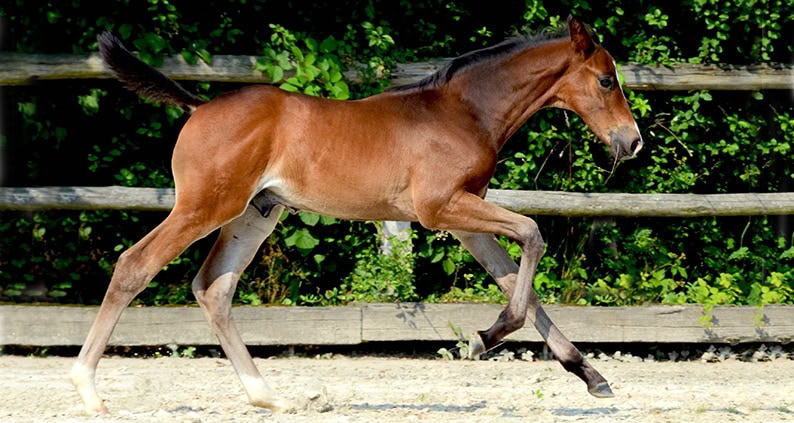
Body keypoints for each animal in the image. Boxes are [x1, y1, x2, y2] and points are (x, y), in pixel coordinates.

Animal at [71, 15, 643, 414]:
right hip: (204, 206)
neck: (464, 112)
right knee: (135, 265)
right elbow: (533, 233)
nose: (632, 142)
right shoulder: (441, 209)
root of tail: (200, 106)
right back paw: (88, 391)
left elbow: (516, 278)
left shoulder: (463, 219)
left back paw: (269, 396)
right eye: (606, 81)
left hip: (255, 214)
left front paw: (590, 376)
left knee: (213, 288)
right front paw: (482, 339)